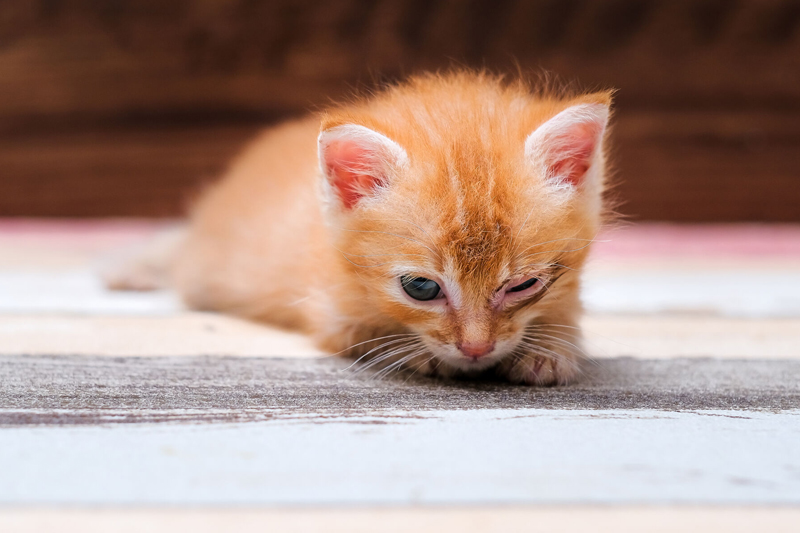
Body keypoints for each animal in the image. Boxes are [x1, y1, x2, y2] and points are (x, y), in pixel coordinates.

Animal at [106, 71, 612, 386]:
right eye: (421, 288)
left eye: (525, 285)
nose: (476, 349)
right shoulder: (329, 311)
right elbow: (370, 335)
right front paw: (419, 353)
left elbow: (565, 317)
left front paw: (550, 351)